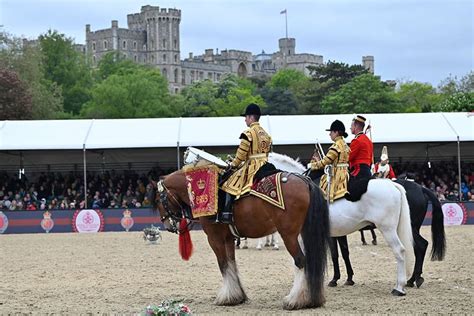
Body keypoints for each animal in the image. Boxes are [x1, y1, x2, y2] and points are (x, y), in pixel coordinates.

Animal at [155, 169, 330, 310]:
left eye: (158, 200)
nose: (166, 224)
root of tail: (305, 181)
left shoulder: (215, 239)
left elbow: (223, 265)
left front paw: (226, 297)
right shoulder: (228, 239)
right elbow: (232, 264)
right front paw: (237, 296)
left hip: (289, 235)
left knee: (301, 261)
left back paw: (295, 300)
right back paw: (312, 299)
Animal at [268, 153, 412, 296]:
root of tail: (393, 185)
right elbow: (339, 253)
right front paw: (341, 279)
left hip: (387, 229)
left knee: (400, 250)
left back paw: (399, 287)